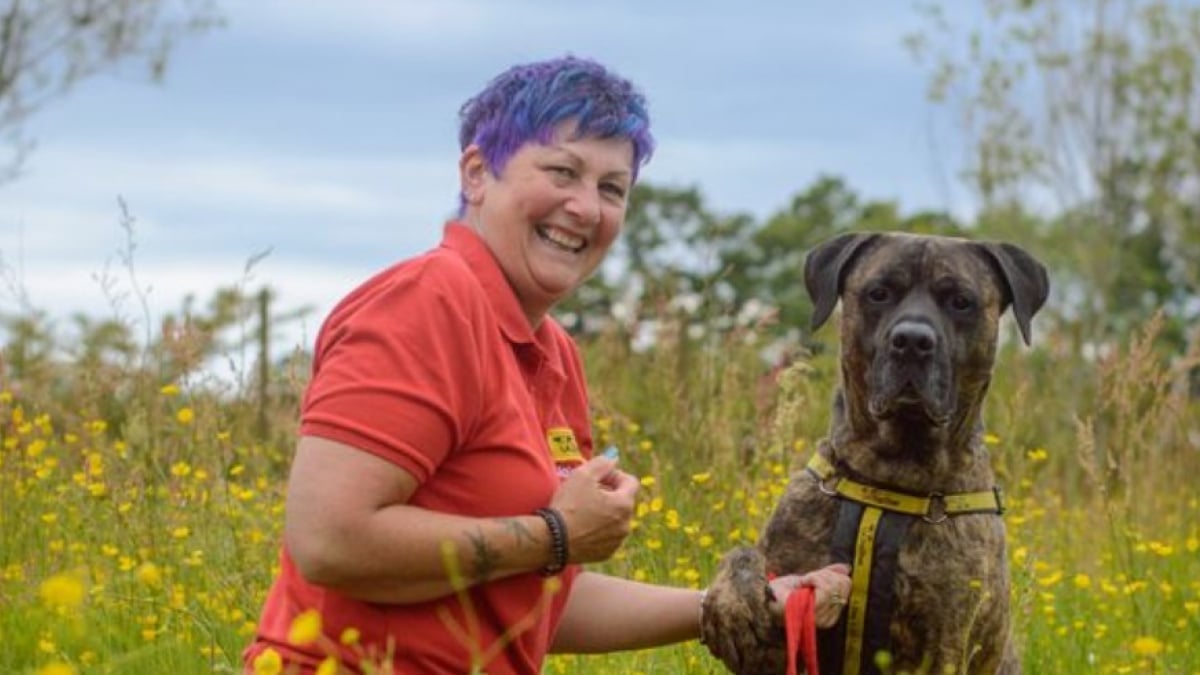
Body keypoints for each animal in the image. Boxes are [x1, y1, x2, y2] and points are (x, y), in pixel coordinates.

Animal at [700, 228, 1051, 667]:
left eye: (961, 301)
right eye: (878, 293)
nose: (912, 340)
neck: (888, 481)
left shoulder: (946, 640)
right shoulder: (775, 643)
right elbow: (742, 554)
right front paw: (732, 602)